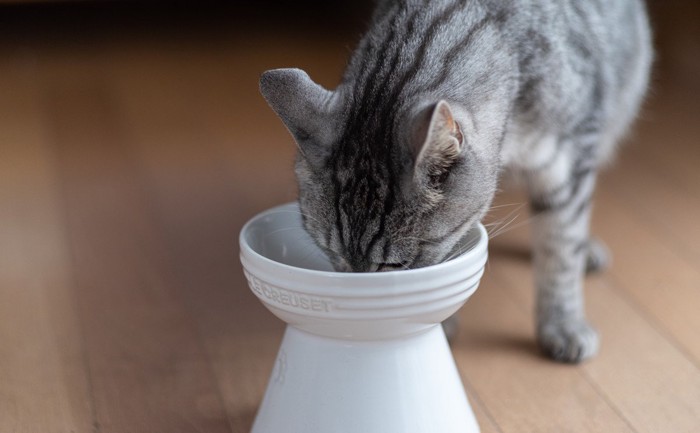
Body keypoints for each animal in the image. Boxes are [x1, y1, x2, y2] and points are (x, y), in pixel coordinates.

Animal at [260, 0, 652, 362]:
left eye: (392, 267)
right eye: (334, 255)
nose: (359, 298)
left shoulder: (571, 160)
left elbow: (561, 250)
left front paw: (563, 325)